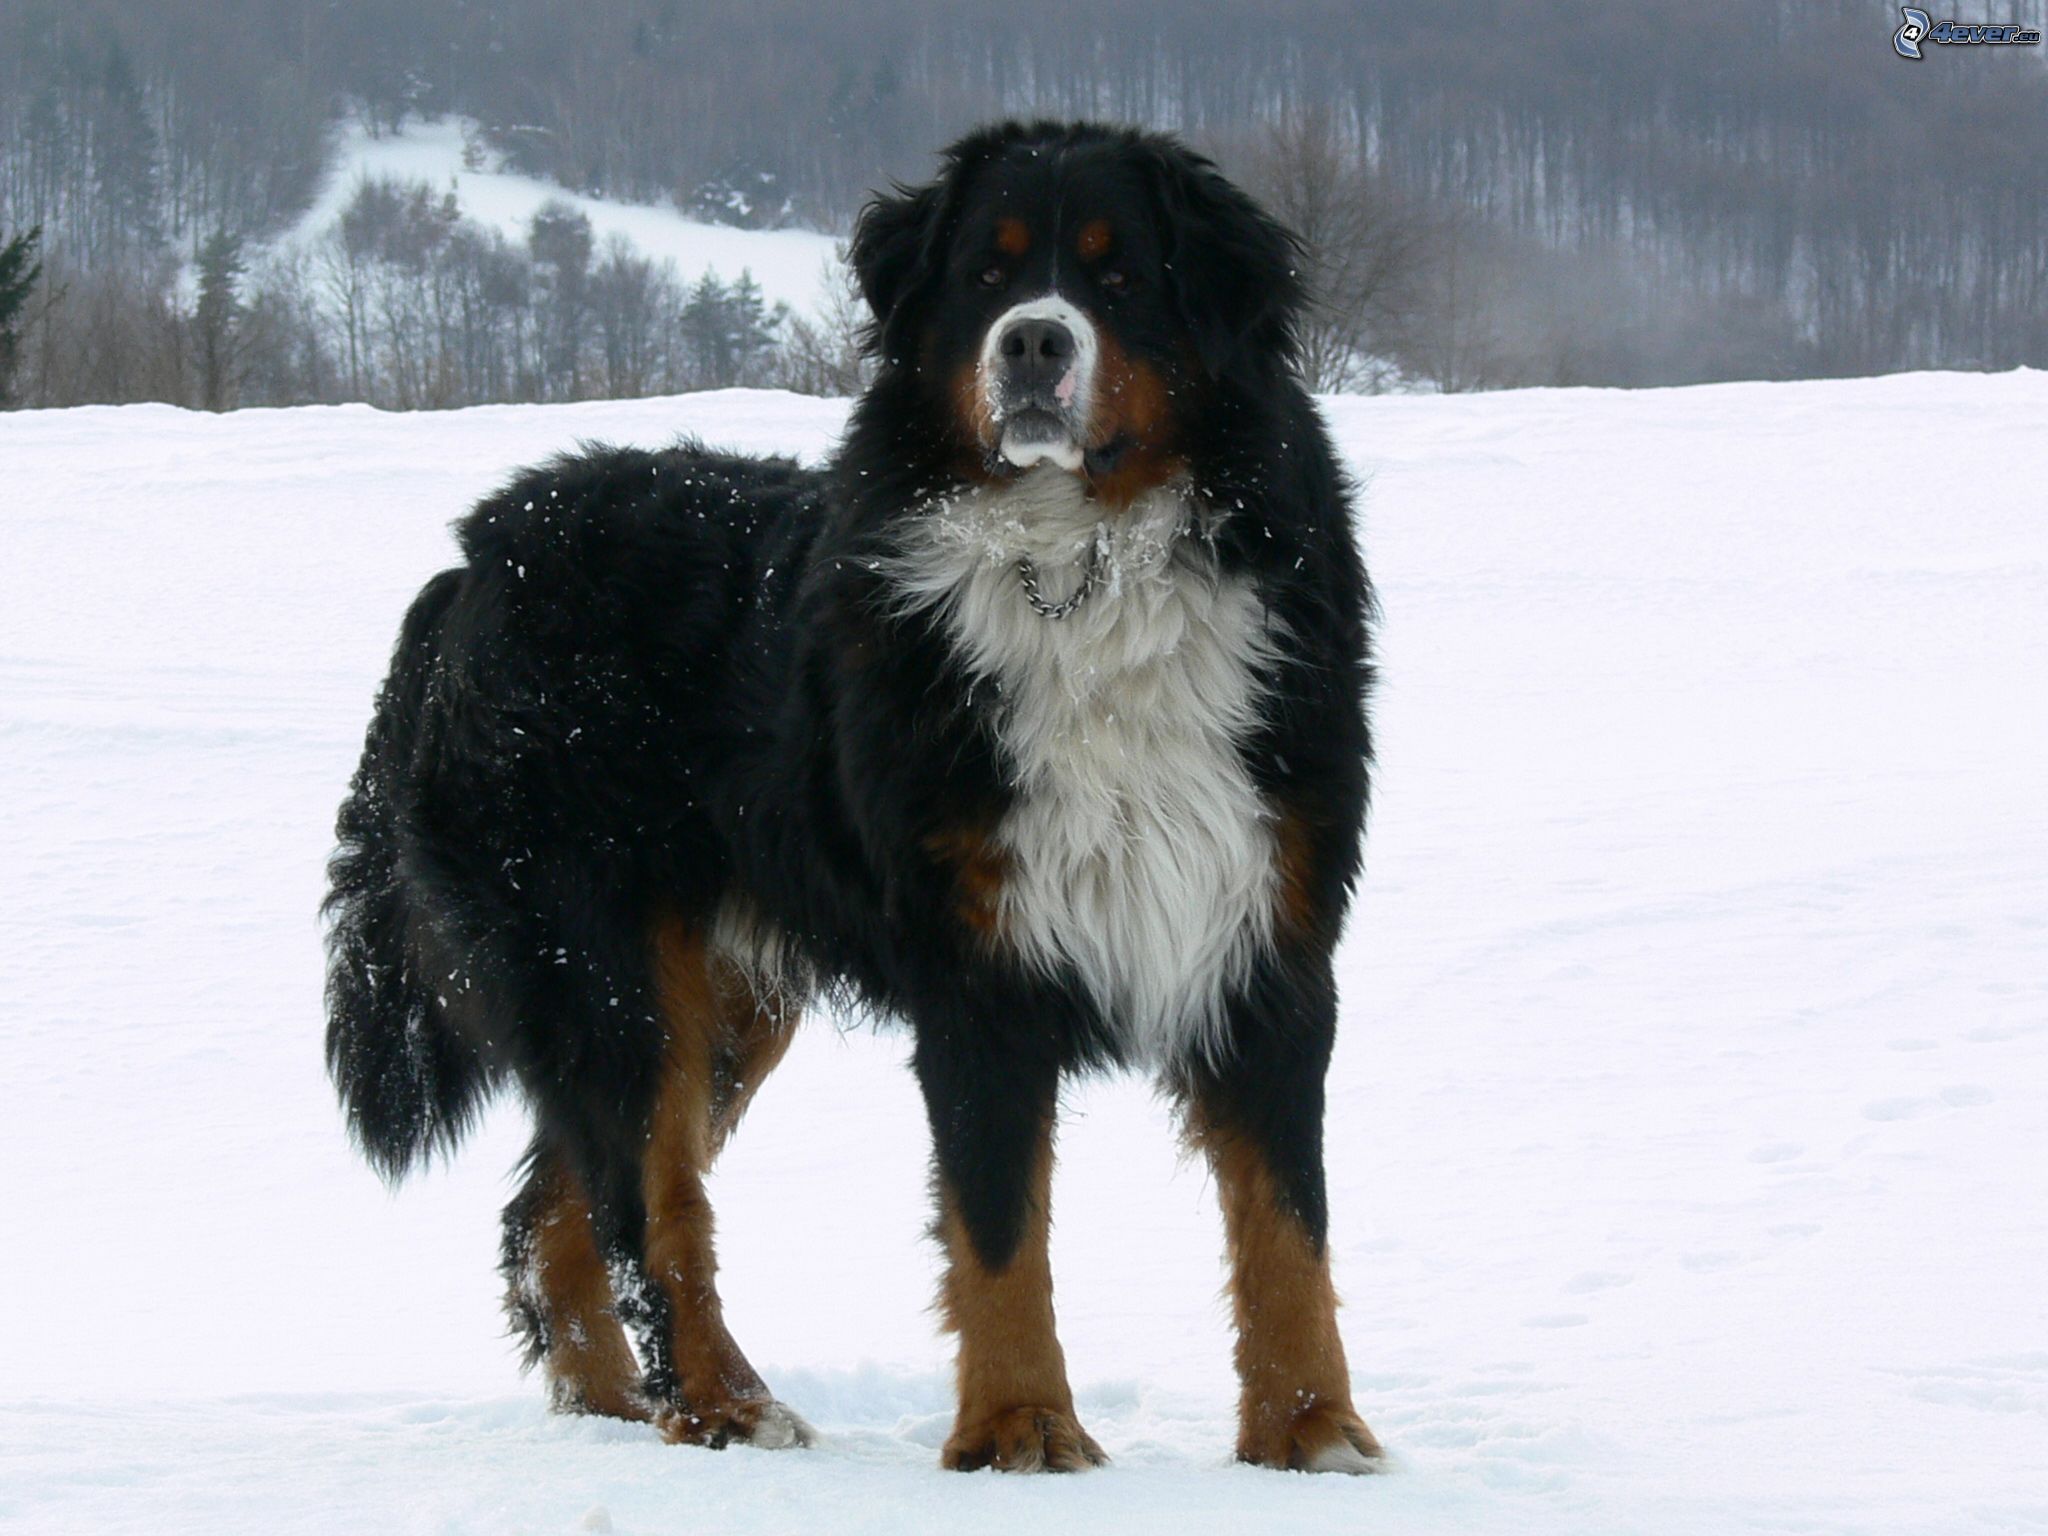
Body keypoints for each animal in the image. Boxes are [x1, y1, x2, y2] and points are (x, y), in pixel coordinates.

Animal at [327, 114, 1384, 1474]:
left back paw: (625, 1412)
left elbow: (1286, 1227)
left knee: (556, 1219)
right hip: (601, 971)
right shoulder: (981, 967)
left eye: (1120, 276)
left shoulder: (1266, 938)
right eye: (986, 274)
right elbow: (998, 1231)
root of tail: (473, 556)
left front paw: (1312, 1434)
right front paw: (1022, 1429)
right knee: (645, 1208)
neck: (1083, 567)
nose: (1033, 342)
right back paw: (719, 1405)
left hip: (709, 997)